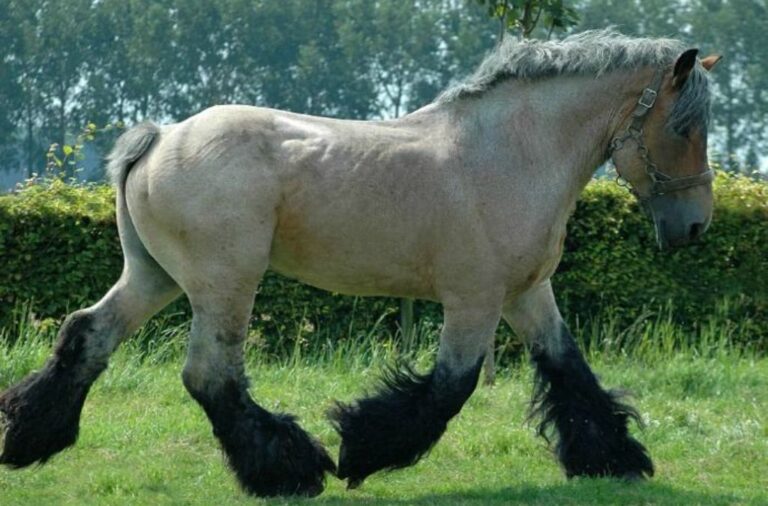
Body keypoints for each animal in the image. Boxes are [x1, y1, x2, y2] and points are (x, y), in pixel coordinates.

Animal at [0, 31, 720, 498]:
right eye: (683, 128)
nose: (694, 227)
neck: (509, 154)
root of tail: (157, 140)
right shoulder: (474, 299)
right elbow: (448, 387)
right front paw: (359, 449)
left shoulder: (527, 293)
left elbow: (571, 370)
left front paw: (615, 459)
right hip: (223, 284)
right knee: (210, 375)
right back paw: (290, 471)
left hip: (156, 276)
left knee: (88, 334)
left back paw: (29, 438)